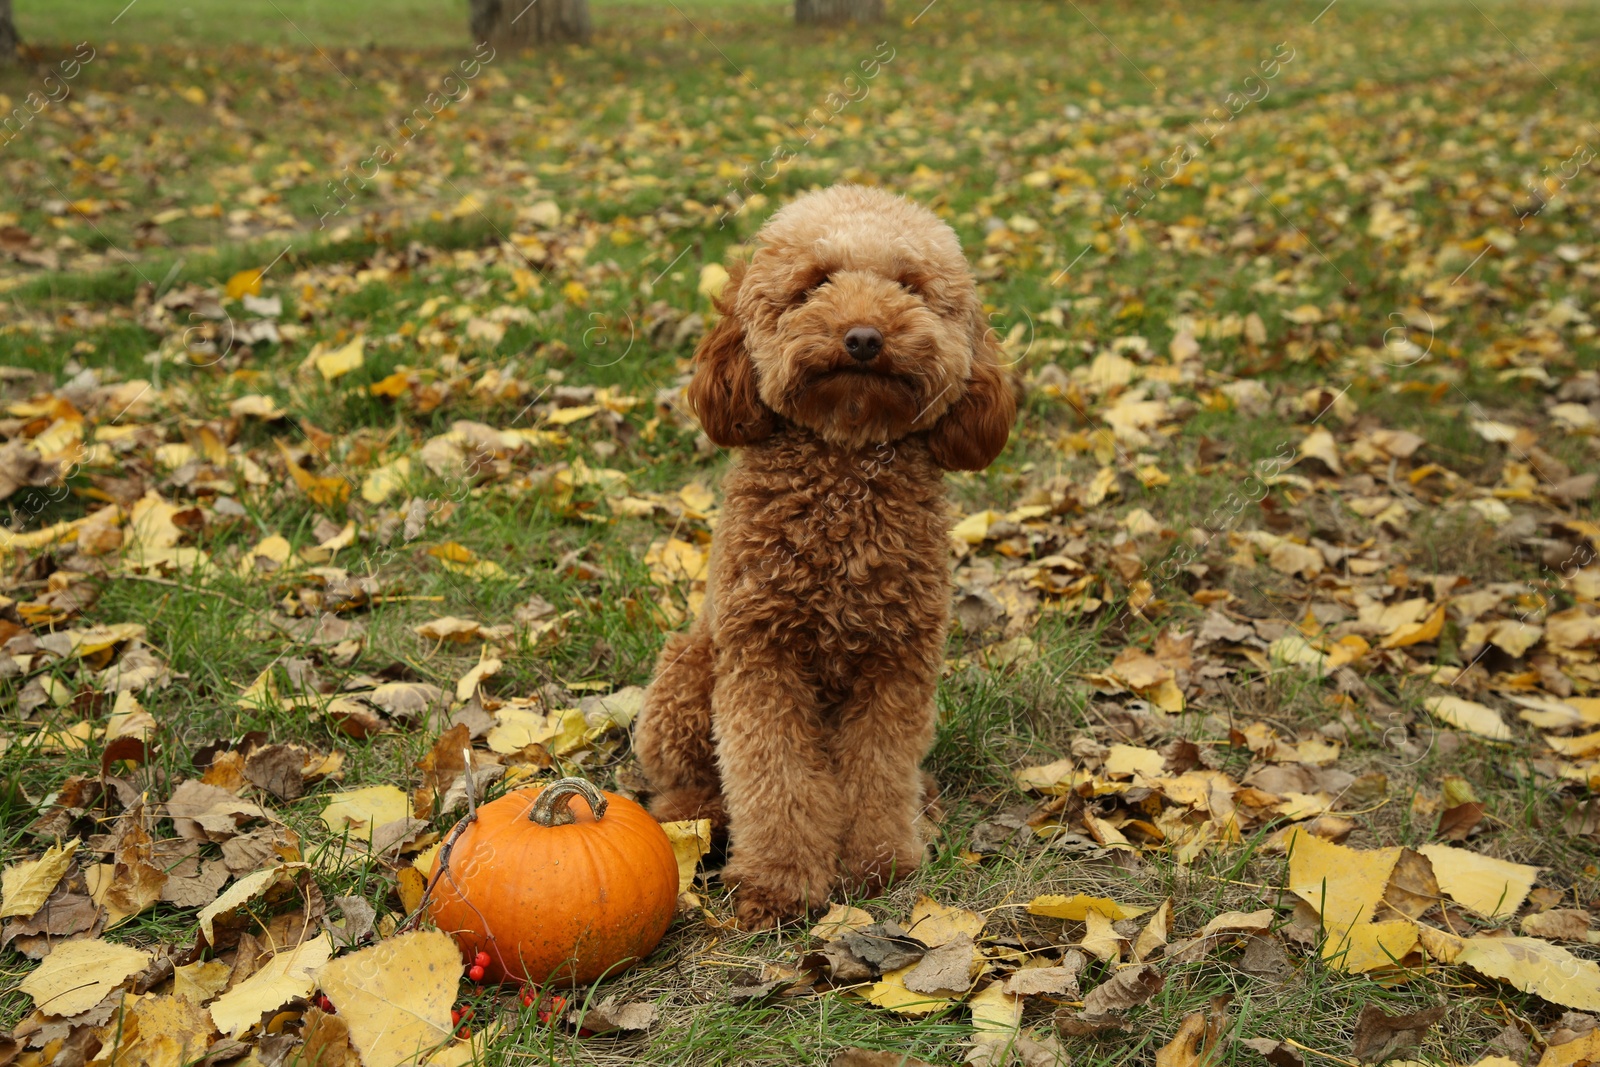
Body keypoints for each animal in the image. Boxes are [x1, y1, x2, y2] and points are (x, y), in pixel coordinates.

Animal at [633, 183, 1011, 927]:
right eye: (813, 284)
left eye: (910, 286)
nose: (863, 338)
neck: (846, 463)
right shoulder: (762, 658)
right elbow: (774, 778)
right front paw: (778, 882)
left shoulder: (897, 664)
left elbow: (878, 771)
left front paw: (879, 865)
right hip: (689, 667)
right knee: (684, 778)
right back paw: (695, 817)